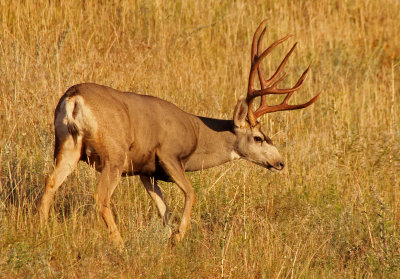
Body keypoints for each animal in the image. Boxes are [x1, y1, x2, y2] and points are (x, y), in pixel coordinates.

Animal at [39, 21, 322, 247]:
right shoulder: (169, 155)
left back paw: (43, 229)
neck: (197, 135)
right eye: (258, 138)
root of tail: (74, 98)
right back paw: (120, 245)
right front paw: (178, 237)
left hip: (67, 145)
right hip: (114, 155)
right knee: (101, 197)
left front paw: (167, 238)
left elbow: (163, 208)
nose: (280, 162)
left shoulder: (146, 170)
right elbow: (191, 193)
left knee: (50, 181)